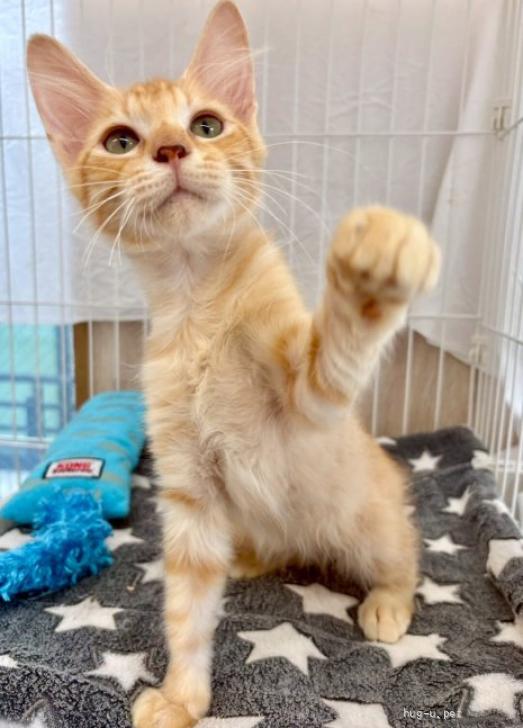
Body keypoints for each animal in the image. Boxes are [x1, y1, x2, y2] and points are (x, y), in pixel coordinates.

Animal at [27, 3, 440, 727]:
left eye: (206, 125)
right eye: (119, 141)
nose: (171, 149)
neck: (200, 308)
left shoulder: (311, 398)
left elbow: (340, 339)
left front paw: (376, 257)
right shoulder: (189, 489)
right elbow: (186, 604)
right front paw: (183, 695)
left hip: (371, 521)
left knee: (404, 554)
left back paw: (388, 600)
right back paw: (248, 555)